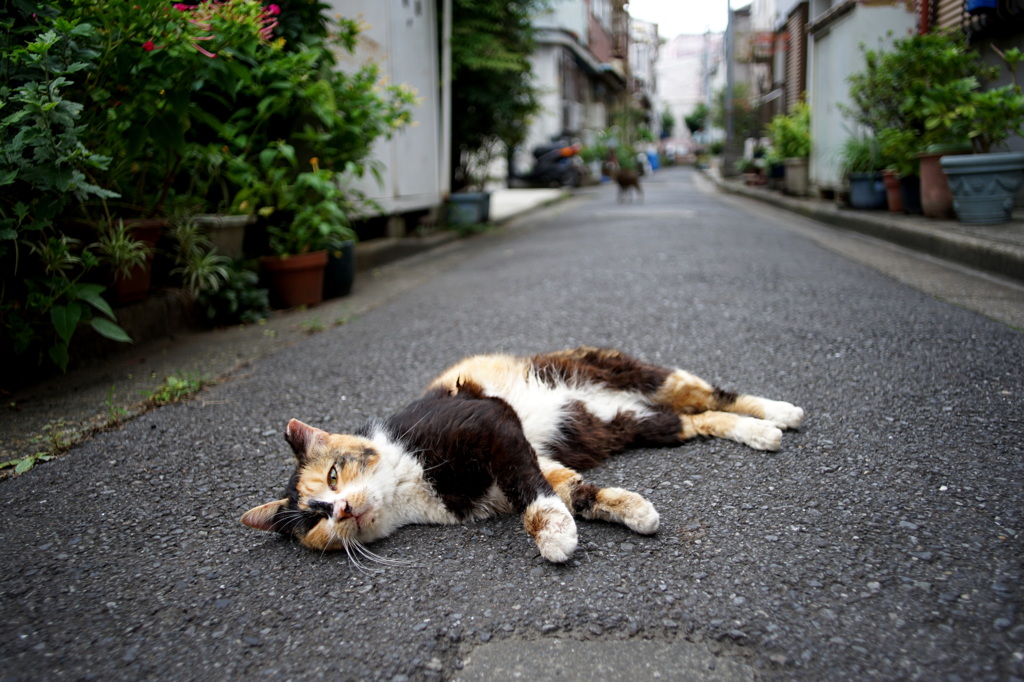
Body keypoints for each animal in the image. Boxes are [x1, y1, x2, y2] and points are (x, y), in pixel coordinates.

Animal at [239, 346, 798, 561]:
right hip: (635, 424)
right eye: (312, 522)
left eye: (333, 476)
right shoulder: (522, 463)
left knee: (712, 393)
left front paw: (552, 536)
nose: (339, 509)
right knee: (697, 420)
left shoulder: (489, 422)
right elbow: (571, 489)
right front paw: (635, 511)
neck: (407, 483)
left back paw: (782, 411)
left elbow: (534, 492)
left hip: (640, 374)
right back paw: (760, 432)